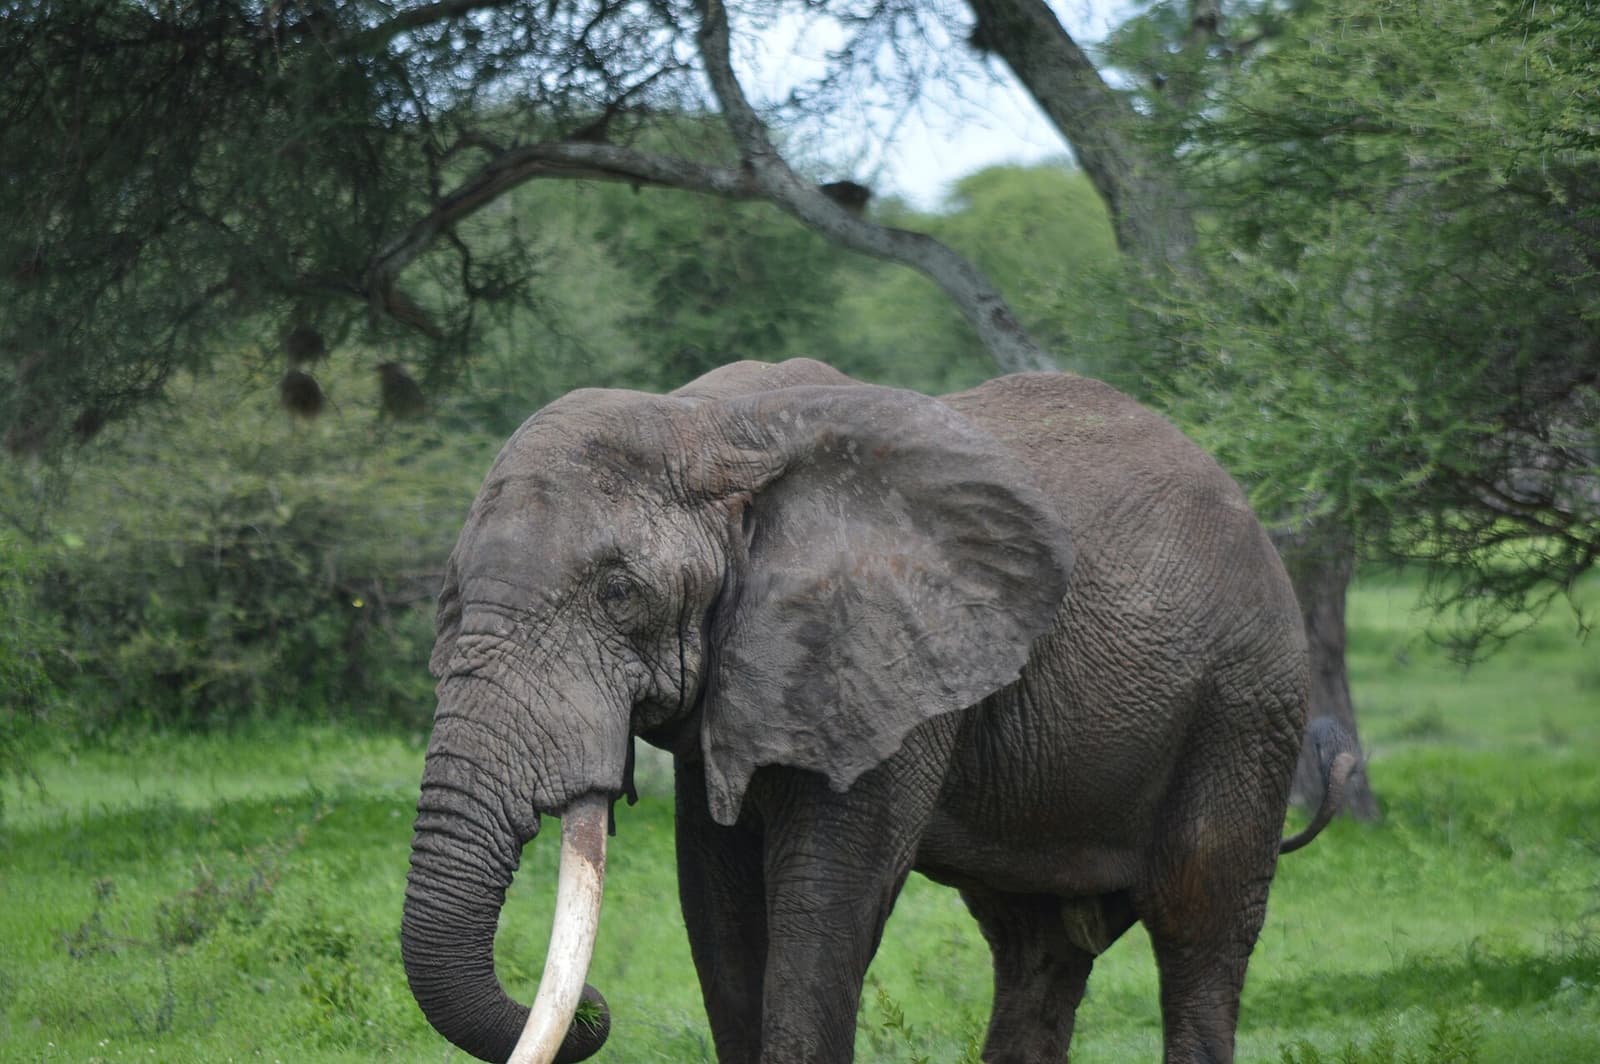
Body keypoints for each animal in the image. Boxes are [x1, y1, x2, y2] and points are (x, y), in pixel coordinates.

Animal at [401, 358, 1358, 1064]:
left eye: (618, 592)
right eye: (450, 591)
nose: (597, 1012)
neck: (706, 422)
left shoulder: (888, 656)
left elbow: (825, 904)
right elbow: (719, 908)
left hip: (1245, 702)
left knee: (1200, 924)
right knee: (1037, 948)